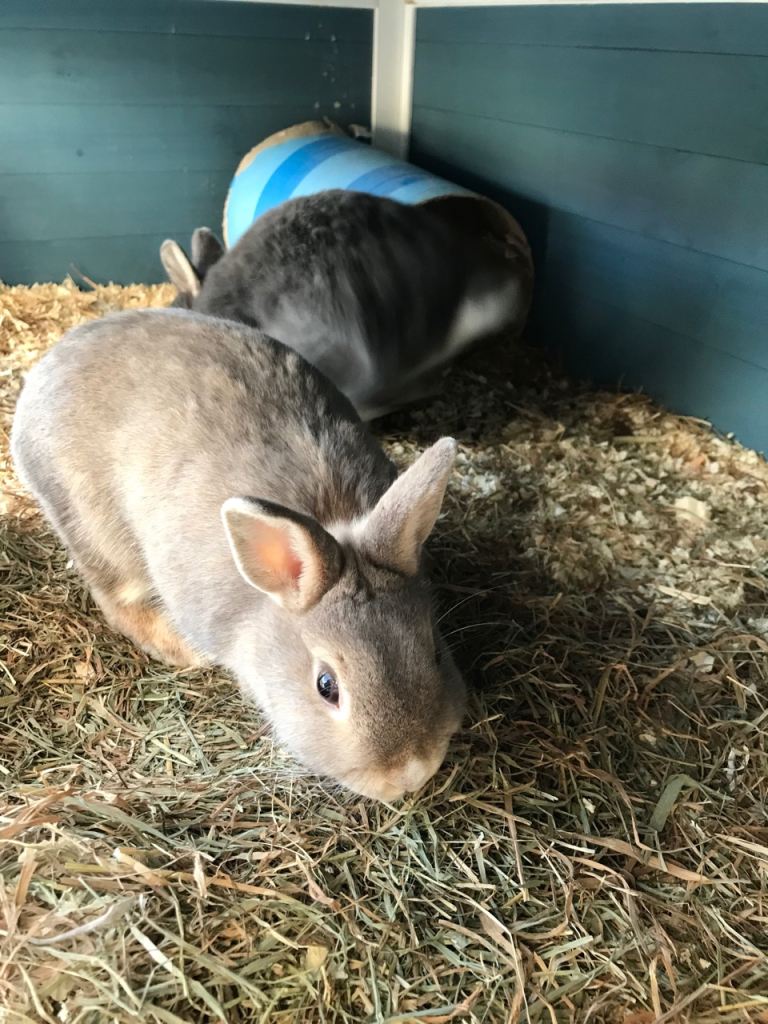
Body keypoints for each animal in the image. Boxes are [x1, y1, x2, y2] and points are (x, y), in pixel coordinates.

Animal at [12, 308, 466, 802]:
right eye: (326, 687)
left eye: (435, 653)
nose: (411, 774)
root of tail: (47, 366)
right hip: (95, 528)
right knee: (116, 598)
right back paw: (182, 649)